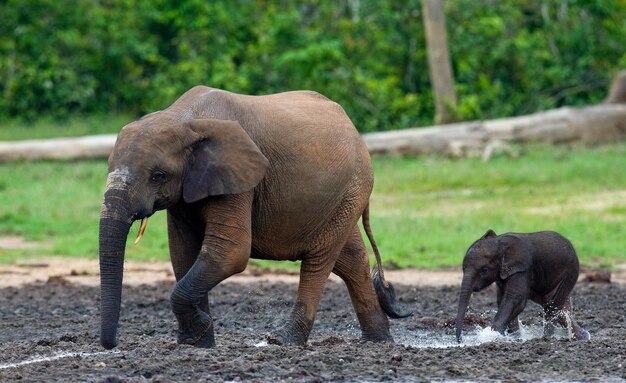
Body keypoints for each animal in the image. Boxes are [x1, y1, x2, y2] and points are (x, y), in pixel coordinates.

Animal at [99, 85, 408, 350]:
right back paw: (378, 341)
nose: (112, 345)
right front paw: (197, 342)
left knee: (319, 260)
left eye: (158, 176)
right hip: (341, 198)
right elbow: (183, 254)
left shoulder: (239, 179)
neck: (182, 118)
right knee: (351, 258)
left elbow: (230, 253)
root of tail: (355, 130)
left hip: (352, 188)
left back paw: (283, 341)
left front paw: (199, 329)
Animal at [450, 230, 588, 344]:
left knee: (552, 306)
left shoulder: (522, 269)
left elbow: (515, 299)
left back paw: (546, 338)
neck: (500, 244)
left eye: (484, 270)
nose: (460, 341)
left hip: (570, 273)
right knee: (559, 308)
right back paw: (582, 337)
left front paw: (494, 336)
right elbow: (502, 300)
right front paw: (515, 338)